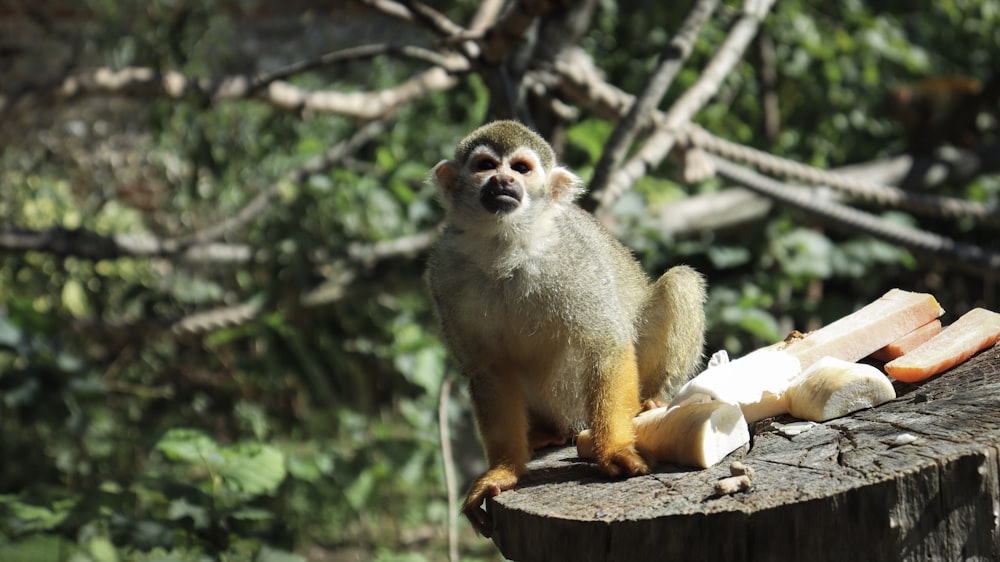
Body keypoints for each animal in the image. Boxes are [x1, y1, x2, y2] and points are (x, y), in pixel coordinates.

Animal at [426, 120, 708, 536]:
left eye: (521, 168)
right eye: (485, 165)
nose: (503, 179)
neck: (506, 246)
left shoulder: (574, 258)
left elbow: (606, 343)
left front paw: (614, 450)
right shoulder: (445, 273)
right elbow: (489, 371)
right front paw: (503, 470)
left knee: (680, 283)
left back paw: (652, 400)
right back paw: (544, 434)